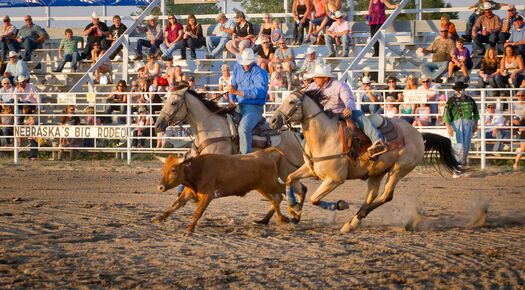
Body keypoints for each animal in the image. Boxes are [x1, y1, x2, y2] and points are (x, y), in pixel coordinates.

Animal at [152, 87, 308, 223]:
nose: (157, 125)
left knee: (298, 190)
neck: (210, 129)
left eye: (173, 103)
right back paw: (266, 220)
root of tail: (295, 135)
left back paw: (294, 214)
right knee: (284, 195)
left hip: (287, 169)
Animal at [268, 89, 460, 232]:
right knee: (372, 196)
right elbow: (290, 178)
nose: (273, 120)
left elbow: (314, 199)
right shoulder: (310, 169)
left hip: (399, 169)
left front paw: (340, 205)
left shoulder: (335, 179)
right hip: (377, 173)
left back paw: (353, 221)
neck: (325, 136)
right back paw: (352, 222)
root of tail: (419, 135)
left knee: (386, 195)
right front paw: (294, 207)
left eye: (292, 102)